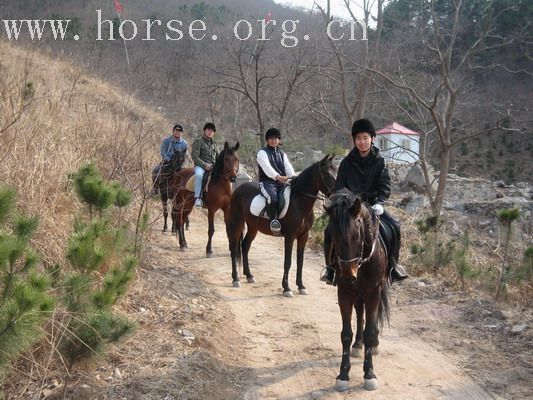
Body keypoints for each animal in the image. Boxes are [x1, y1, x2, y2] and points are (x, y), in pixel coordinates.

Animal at [227, 155, 334, 296]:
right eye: (327, 174)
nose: (338, 193)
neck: (299, 201)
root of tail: (238, 189)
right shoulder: (290, 236)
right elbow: (287, 262)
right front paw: (287, 288)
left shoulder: (303, 236)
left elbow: (300, 261)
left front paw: (301, 286)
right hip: (237, 223)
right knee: (234, 248)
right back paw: (235, 279)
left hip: (253, 227)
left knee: (245, 246)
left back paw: (249, 276)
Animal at [322, 189, 388, 392]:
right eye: (333, 237)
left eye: (356, 236)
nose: (348, 276)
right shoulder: (344, 293)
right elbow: (346, 334)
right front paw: (343, 375)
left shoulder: (374, 292)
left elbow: (370, 331)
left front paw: (369, 374)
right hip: (357, 294)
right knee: (360, 314)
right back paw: (358, 345)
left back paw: (373, 344)